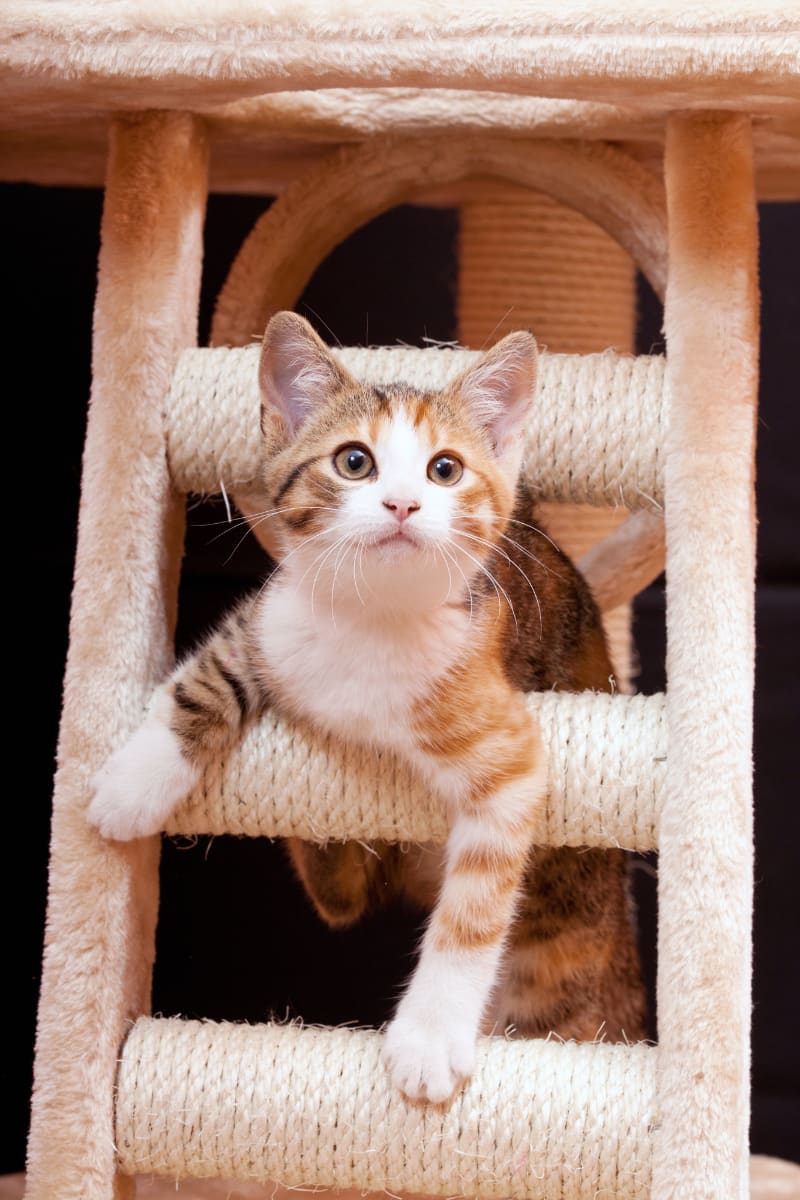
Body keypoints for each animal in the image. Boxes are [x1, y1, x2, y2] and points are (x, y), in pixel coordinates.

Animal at [90, 312, 647, 1104]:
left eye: (445, 470)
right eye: (354, 462)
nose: (402, 505)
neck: (370, 621)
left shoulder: (510, 754)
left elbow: (474, 906)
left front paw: (429, 1038)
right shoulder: (271, 615)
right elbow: (209, 673)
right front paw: (135, 782)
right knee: (342, 899)